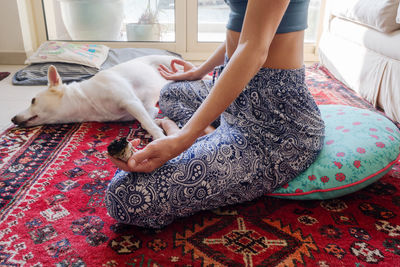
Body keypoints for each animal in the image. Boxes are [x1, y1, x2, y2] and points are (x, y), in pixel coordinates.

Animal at [10, 53, 180, 139]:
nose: (12, 119)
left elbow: (147, 124)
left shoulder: (130, 101)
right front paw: (158, 124)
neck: (87, 99)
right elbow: (148, 120)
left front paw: (161, 139)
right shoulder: (141, 107)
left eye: (33, 100)